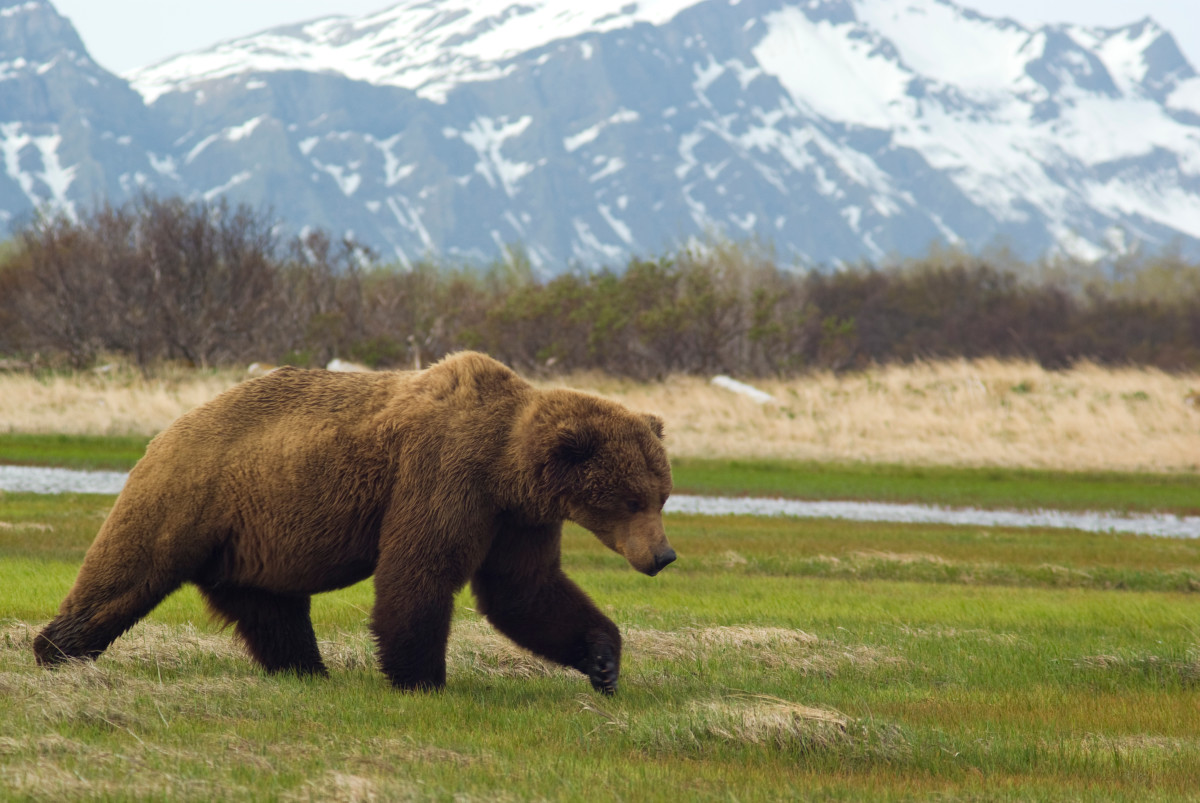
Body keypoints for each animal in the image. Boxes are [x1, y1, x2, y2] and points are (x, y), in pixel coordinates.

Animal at [32, 352, 676, 691]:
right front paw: (421, 677)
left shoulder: (517, 517)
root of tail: (165, 430)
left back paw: (305, 670)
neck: (506, 464)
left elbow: (524, 590)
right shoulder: (445, 476)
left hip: (256, 535)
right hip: (188, 498)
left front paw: (603, 660)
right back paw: (55, 650)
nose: (663, 556)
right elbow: (420, 571)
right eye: (633, 499)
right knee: (126, 576)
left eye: (661, 495)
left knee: (271, 608)